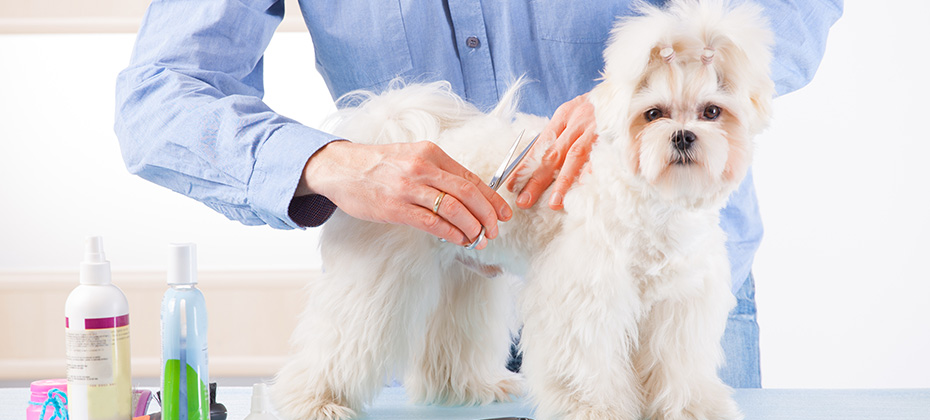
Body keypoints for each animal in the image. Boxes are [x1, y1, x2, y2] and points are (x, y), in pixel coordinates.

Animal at [272, 1, 772, 418]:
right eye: (654, 114)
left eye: (711, 112)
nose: (683, 136)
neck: (655, 207)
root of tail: (388, 136)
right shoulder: (583, 300)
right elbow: (585, 369)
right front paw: (593, 410)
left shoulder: (678, 307)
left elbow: (677, 369)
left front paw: (690, 409)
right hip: (377, 283)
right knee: (336, 342)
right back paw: (316, 402)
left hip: (461, 279)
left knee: (448, 344)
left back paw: (469, 388)